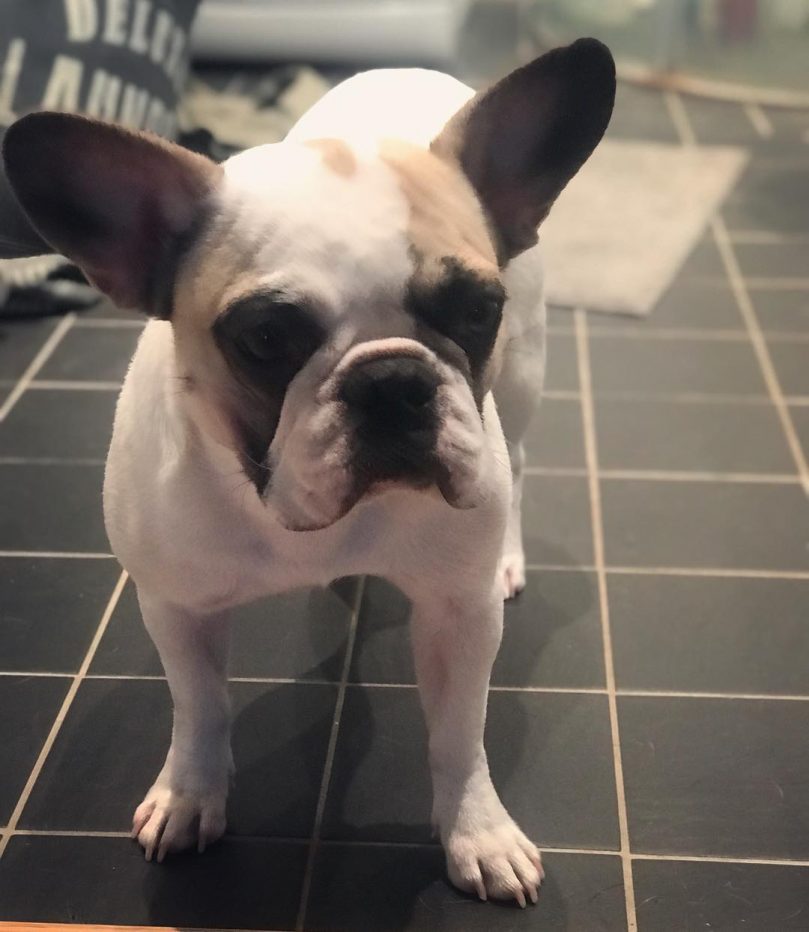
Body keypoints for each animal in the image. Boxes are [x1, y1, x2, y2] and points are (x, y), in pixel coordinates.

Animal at [3, 40, 612, 908]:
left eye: (475, 311)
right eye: (263, 337)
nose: (391, 380)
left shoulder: (458, 618)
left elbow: (459, 735)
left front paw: (477, 830)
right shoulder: (175, 609)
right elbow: (200, 708)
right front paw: (190, 795)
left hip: (520, 388)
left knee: (519, 463)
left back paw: (506, 553)